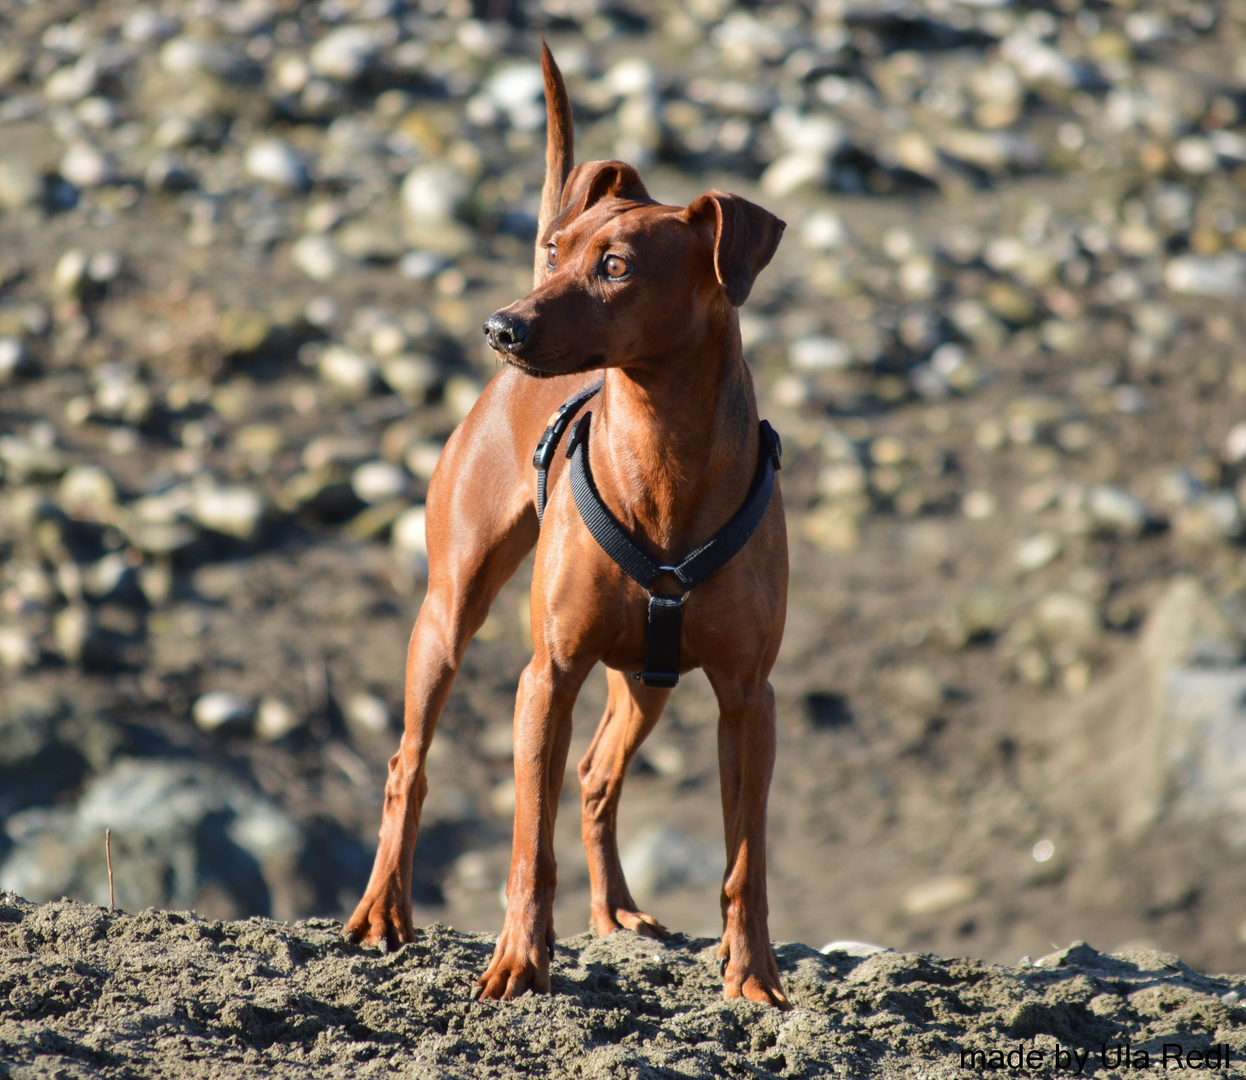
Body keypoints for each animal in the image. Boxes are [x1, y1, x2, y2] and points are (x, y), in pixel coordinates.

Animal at [341, 40, 787, 1006]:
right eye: (557, 251)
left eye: (616, 265)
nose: (500, 326)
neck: (664, 454)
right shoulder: (545, 677)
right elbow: (524, 844)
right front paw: (518, 959)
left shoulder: (748, 697)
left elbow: (745, 860)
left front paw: (754, 973)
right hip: (448, 612)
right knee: (407, 764)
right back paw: (383, 911)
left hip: (647, 679)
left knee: (596, 778)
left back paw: (613, 911)